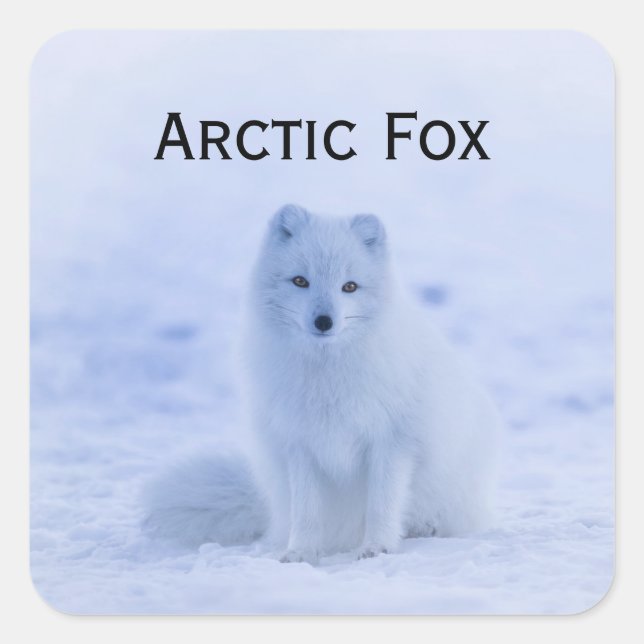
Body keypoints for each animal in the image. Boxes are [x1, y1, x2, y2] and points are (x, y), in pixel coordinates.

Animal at [143, 205, 501, 564]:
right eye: (301, 281)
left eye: (350, 286)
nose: (324, 321)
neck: (327, 375)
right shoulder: (300, 443)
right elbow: (307, 511)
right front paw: (300, 552)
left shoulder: (392, 441)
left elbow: (382, 504)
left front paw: (377, 548)